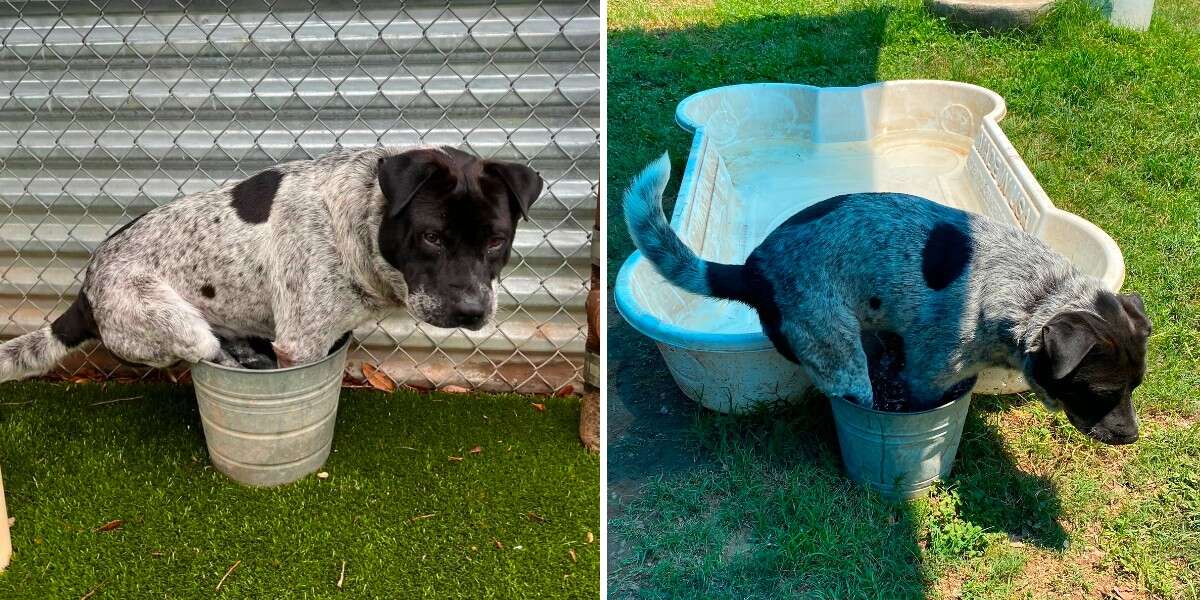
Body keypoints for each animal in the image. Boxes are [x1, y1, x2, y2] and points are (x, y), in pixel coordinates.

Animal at [0, 145, 540, 376]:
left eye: (497, 241)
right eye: (431, 237)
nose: (472, 311)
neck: (355, 223)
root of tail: (84, 293)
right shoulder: (301, 346)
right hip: (173, 323)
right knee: (206, 349)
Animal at [624, 154, 1147, 446]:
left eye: (1136, 387)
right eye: (1100, 392)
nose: (1131, 438)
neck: (1033, 295)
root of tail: (754, 271)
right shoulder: (929, 375)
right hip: (843, 362)